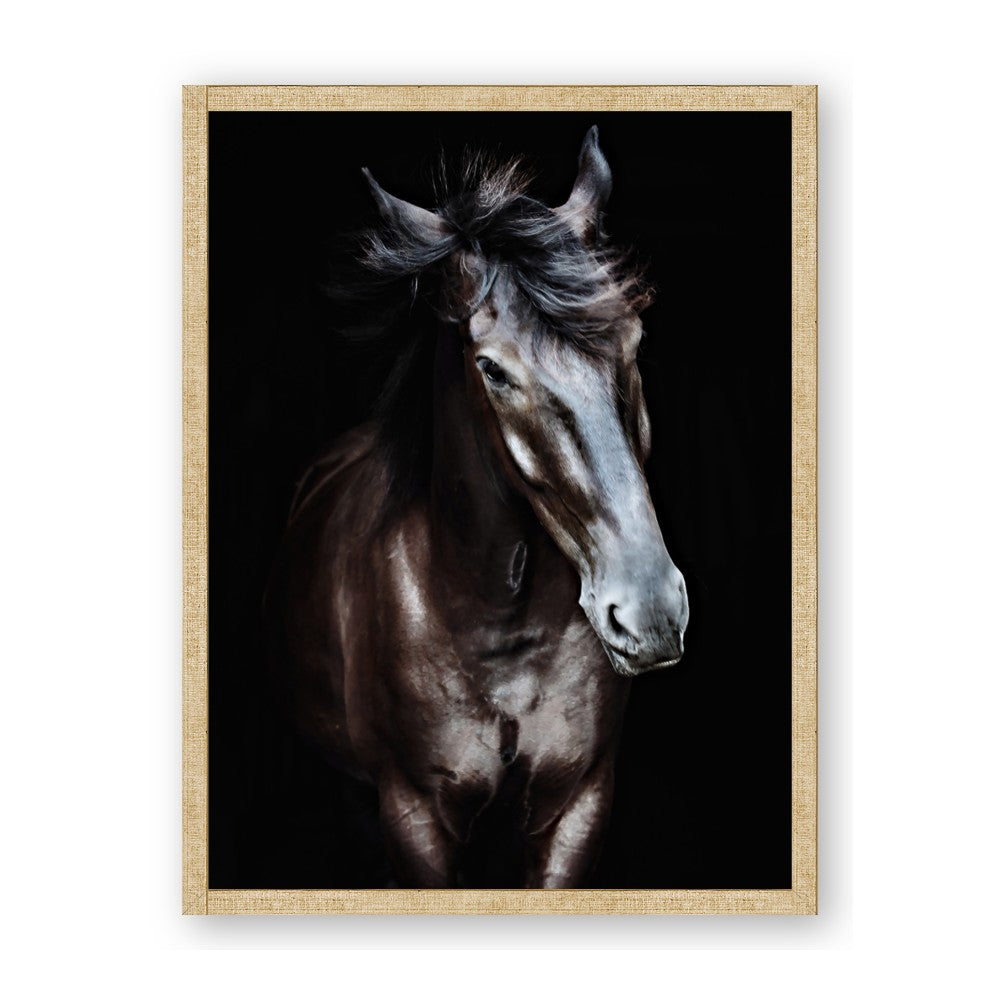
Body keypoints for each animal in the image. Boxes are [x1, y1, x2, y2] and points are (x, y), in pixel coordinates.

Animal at [265, 127, 689, 888]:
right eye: (492, 368)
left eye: (634, 338)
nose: (650, 611)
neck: (498, 627)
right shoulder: (414, 818)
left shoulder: (577, 806)